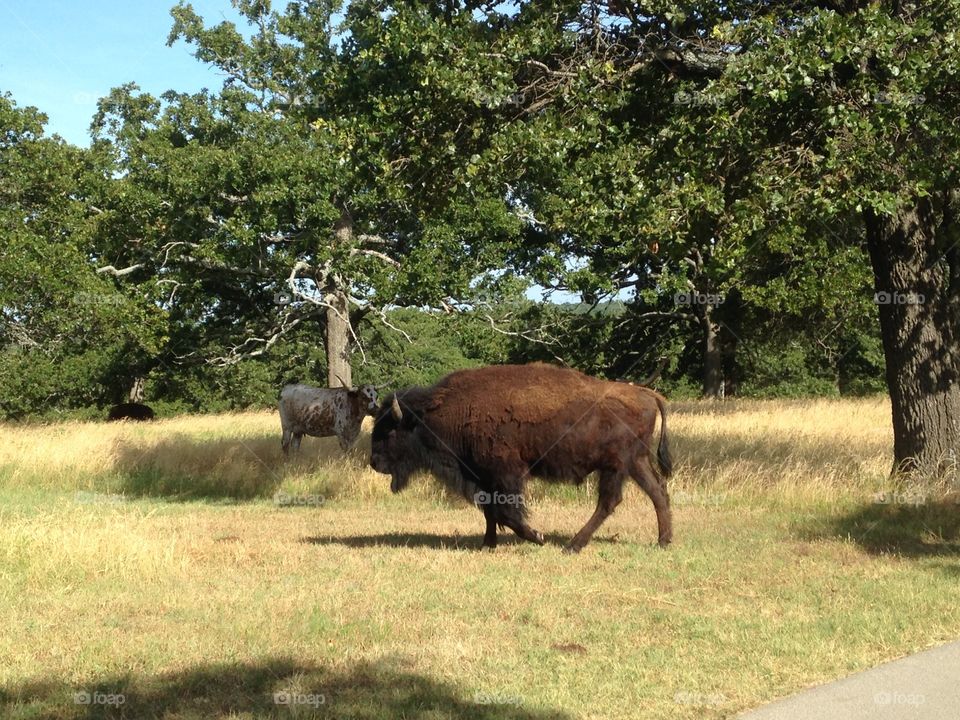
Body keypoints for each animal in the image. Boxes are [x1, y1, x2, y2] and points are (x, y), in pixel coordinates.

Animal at [372, 362, 672, 556]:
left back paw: (572, 546)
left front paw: (536, 536)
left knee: (610, 501)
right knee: (657, 492)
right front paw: (487, 545)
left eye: (389, 431)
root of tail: (647, 394)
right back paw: (663, 541)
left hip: (615, 465)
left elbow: (507, 512)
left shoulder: (506, 474)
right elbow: (490, 511)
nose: (374, 462)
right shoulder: (483, 476)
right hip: (636, 462)